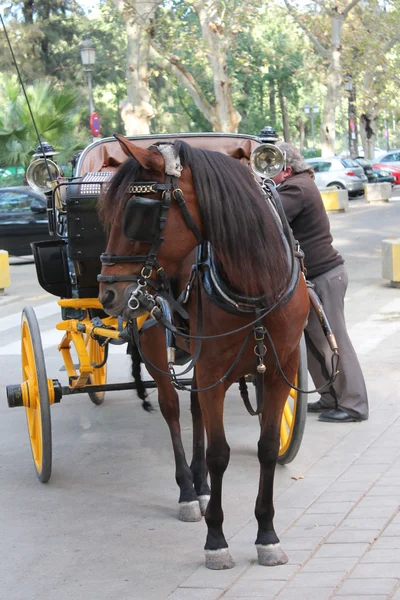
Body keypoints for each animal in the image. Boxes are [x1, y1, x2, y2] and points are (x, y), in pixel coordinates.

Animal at [97, 134, 310, 568]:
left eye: (135, 214)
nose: (107, 293)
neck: (255, 284)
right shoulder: (213, 371)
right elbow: (219, 454)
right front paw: (216, 539)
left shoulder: (281, 369)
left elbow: (266, 448)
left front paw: (267, 534)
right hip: (154, 340)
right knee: (172, 410)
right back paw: (188, 490)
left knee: (194, 408)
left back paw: (201, 484)